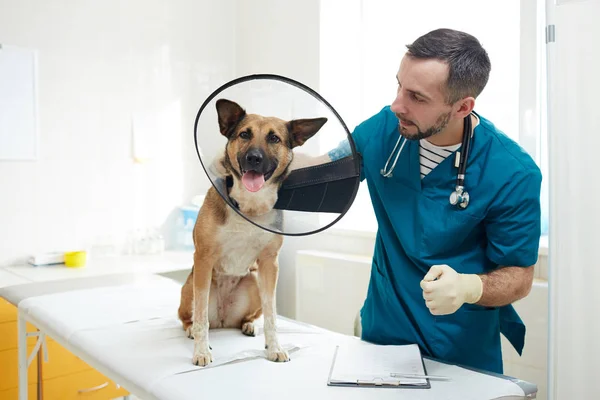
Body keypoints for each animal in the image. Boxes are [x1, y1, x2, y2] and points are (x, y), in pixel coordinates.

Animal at [178, 97, 328, 366]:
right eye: (244, 134)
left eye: (274, 138)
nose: (254, 158)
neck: (249, 205)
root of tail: (223, 320)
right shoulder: (203, 259)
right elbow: (201, 317)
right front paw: (201, 351)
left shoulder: (269, 264)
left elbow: (272, 316)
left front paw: (274, 347)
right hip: (190, 286)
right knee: (192, 317)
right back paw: (190, 329)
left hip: (254, 282)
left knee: (247, 317)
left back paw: (249, 325)